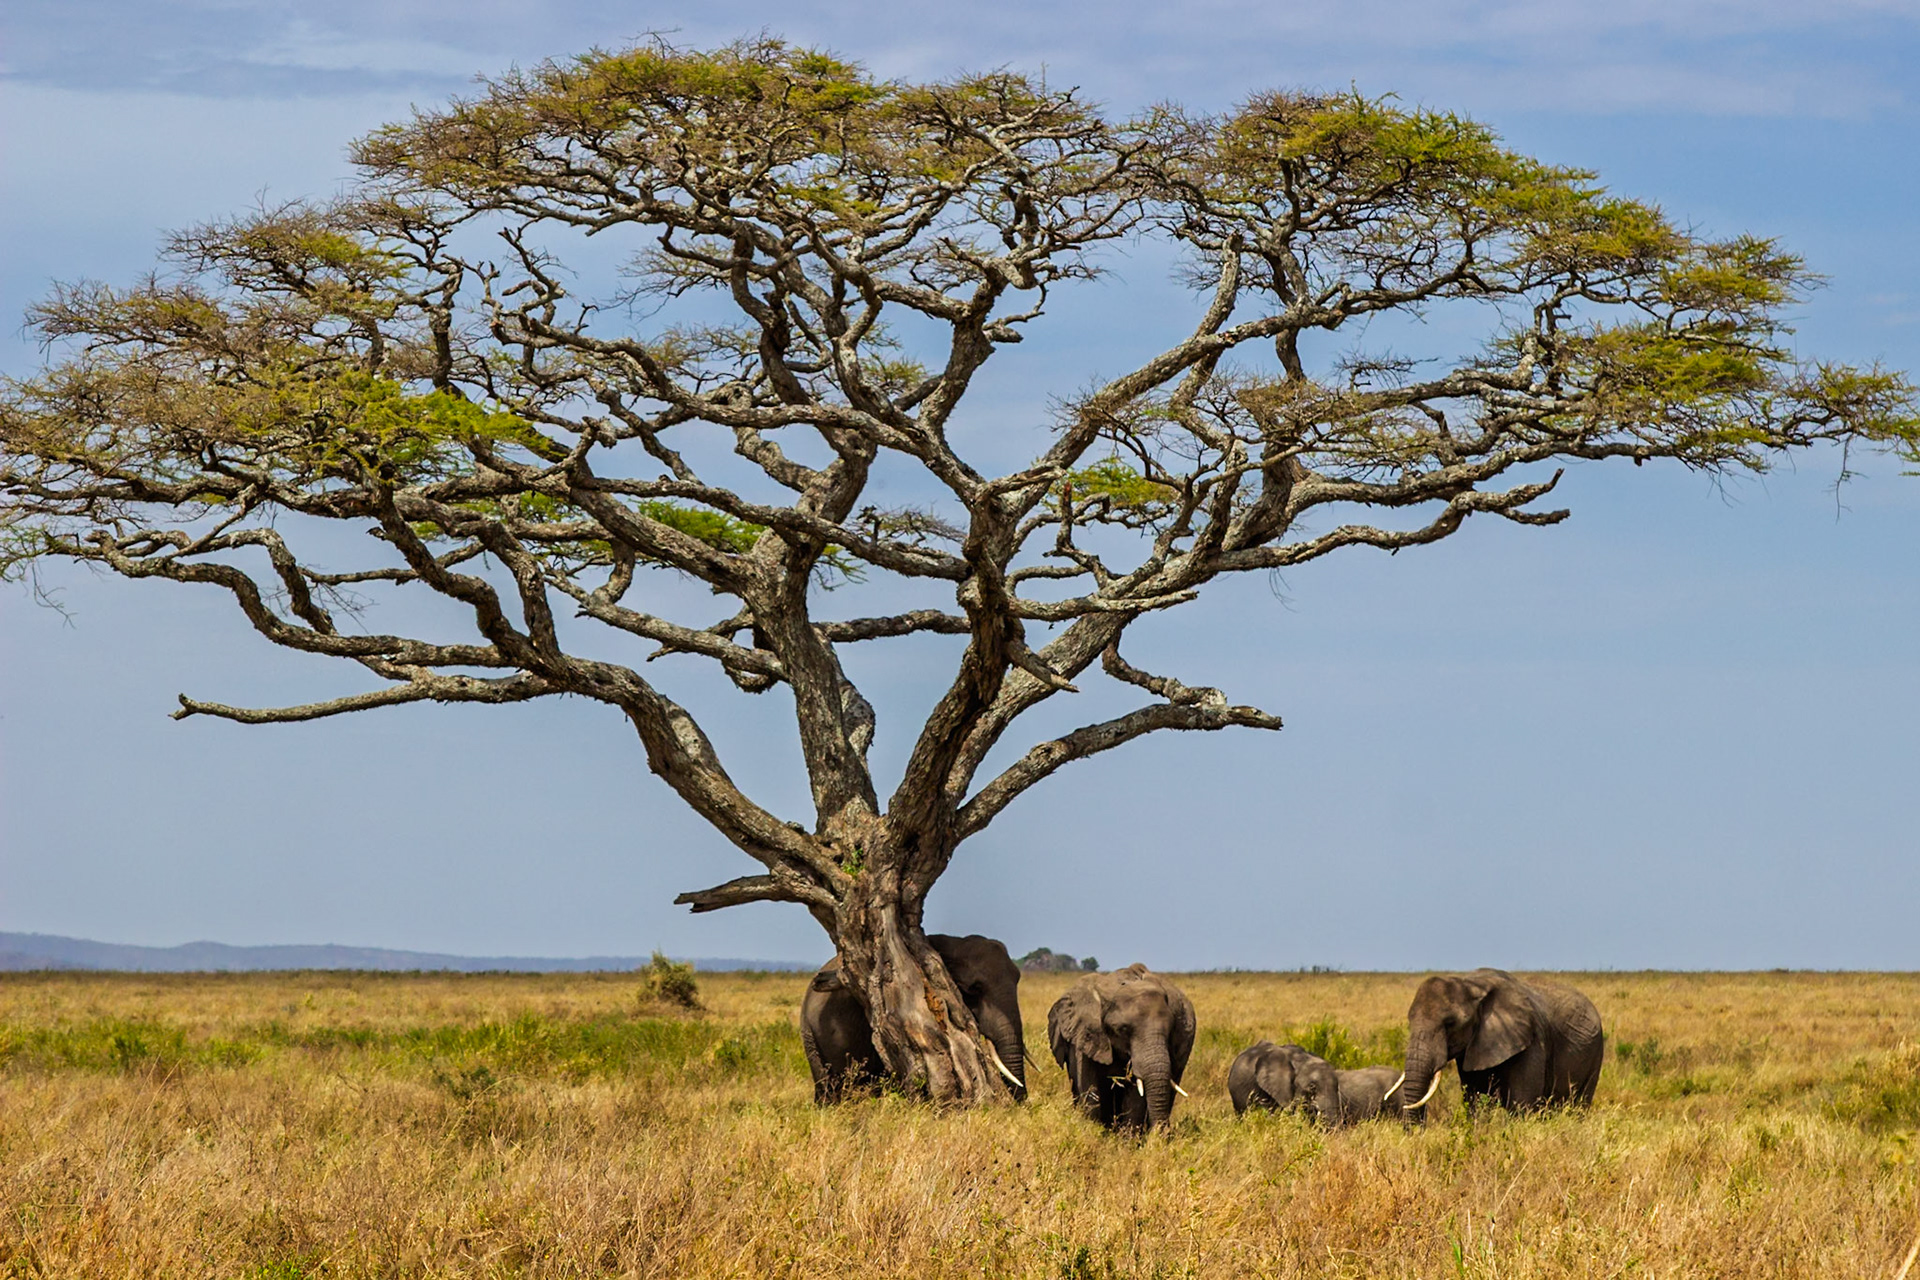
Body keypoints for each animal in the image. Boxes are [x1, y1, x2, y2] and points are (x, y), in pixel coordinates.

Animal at [1047, 964, 1195, 1131]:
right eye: (1123, 1029)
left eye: (1171, 1030)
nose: (1161, 1132)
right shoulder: (1085, 1033)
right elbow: (1088, 1085)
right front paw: (1092, 1131)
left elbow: (1136, 1093)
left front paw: (1126, 1138)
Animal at [1398, 968, 1604, 1118]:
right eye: (1409, 1022)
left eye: (1450, 1024)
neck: (1470, 984)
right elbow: (1474, 1102)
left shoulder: (1532, 1043)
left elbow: (1522, 1104)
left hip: (1595, 1052)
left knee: (1580, 1104)